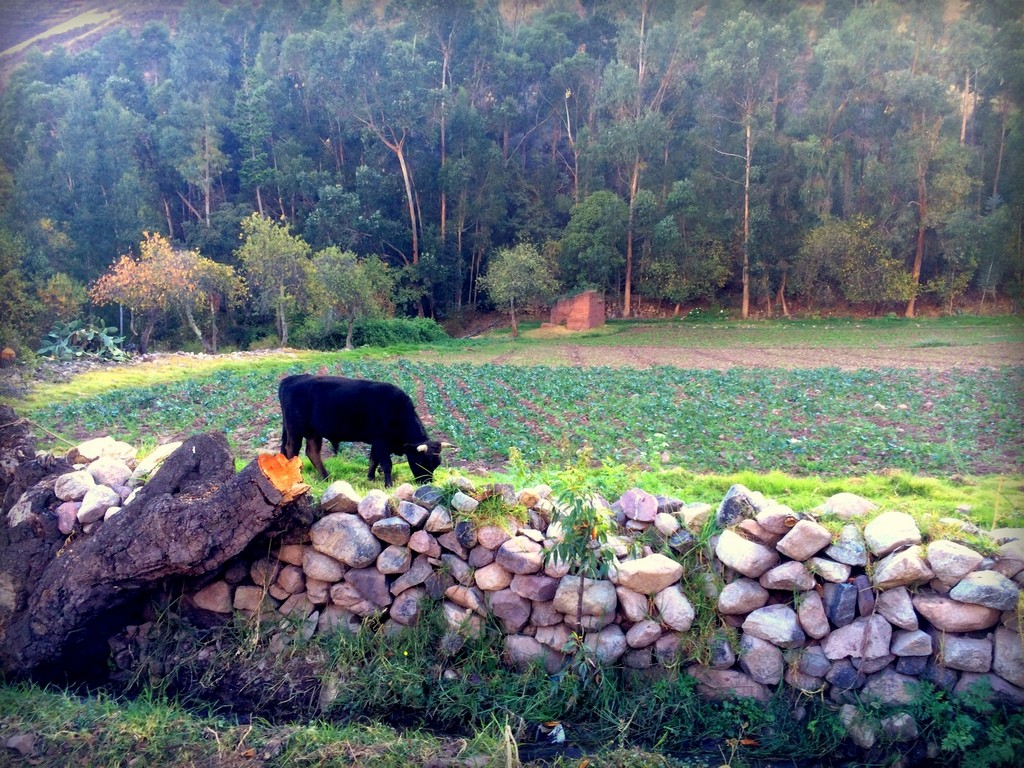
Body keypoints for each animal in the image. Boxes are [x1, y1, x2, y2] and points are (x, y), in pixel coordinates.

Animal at [276, 374, 452, 487]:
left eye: (436, 464)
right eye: (422, 462)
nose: (427, 483)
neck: (396, 409)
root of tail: (291, 379)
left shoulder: (376, 441)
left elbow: (373, 460)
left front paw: (371, 478)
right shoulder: (381, 441)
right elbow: (386, 464)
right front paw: (388, 485)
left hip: (313, 432)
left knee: (312, 452)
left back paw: (326, 477)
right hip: (295, 429)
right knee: (291, 450)